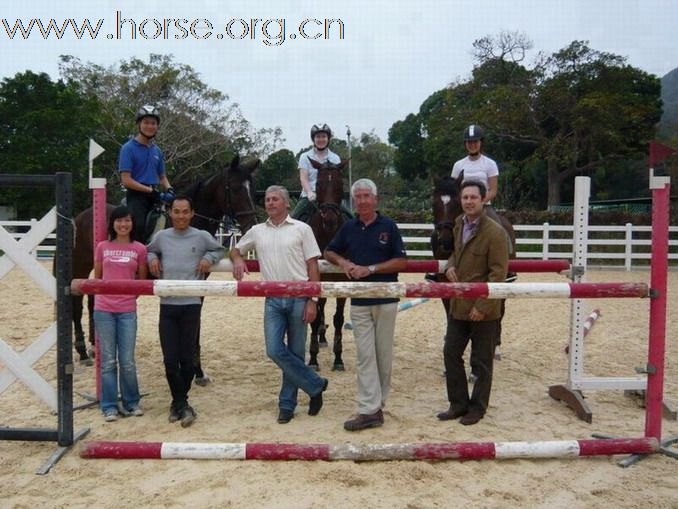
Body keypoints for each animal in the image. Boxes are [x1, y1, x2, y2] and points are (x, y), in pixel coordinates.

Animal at [73, 154, 260, 366]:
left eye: (253, 190)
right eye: (235, 188)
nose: (251, 226)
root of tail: (81, 215)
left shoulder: (198, 285)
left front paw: (196, 366)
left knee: (92, 299)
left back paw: (93, 346)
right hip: (81, 265)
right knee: (77, 302)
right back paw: (82, 351)